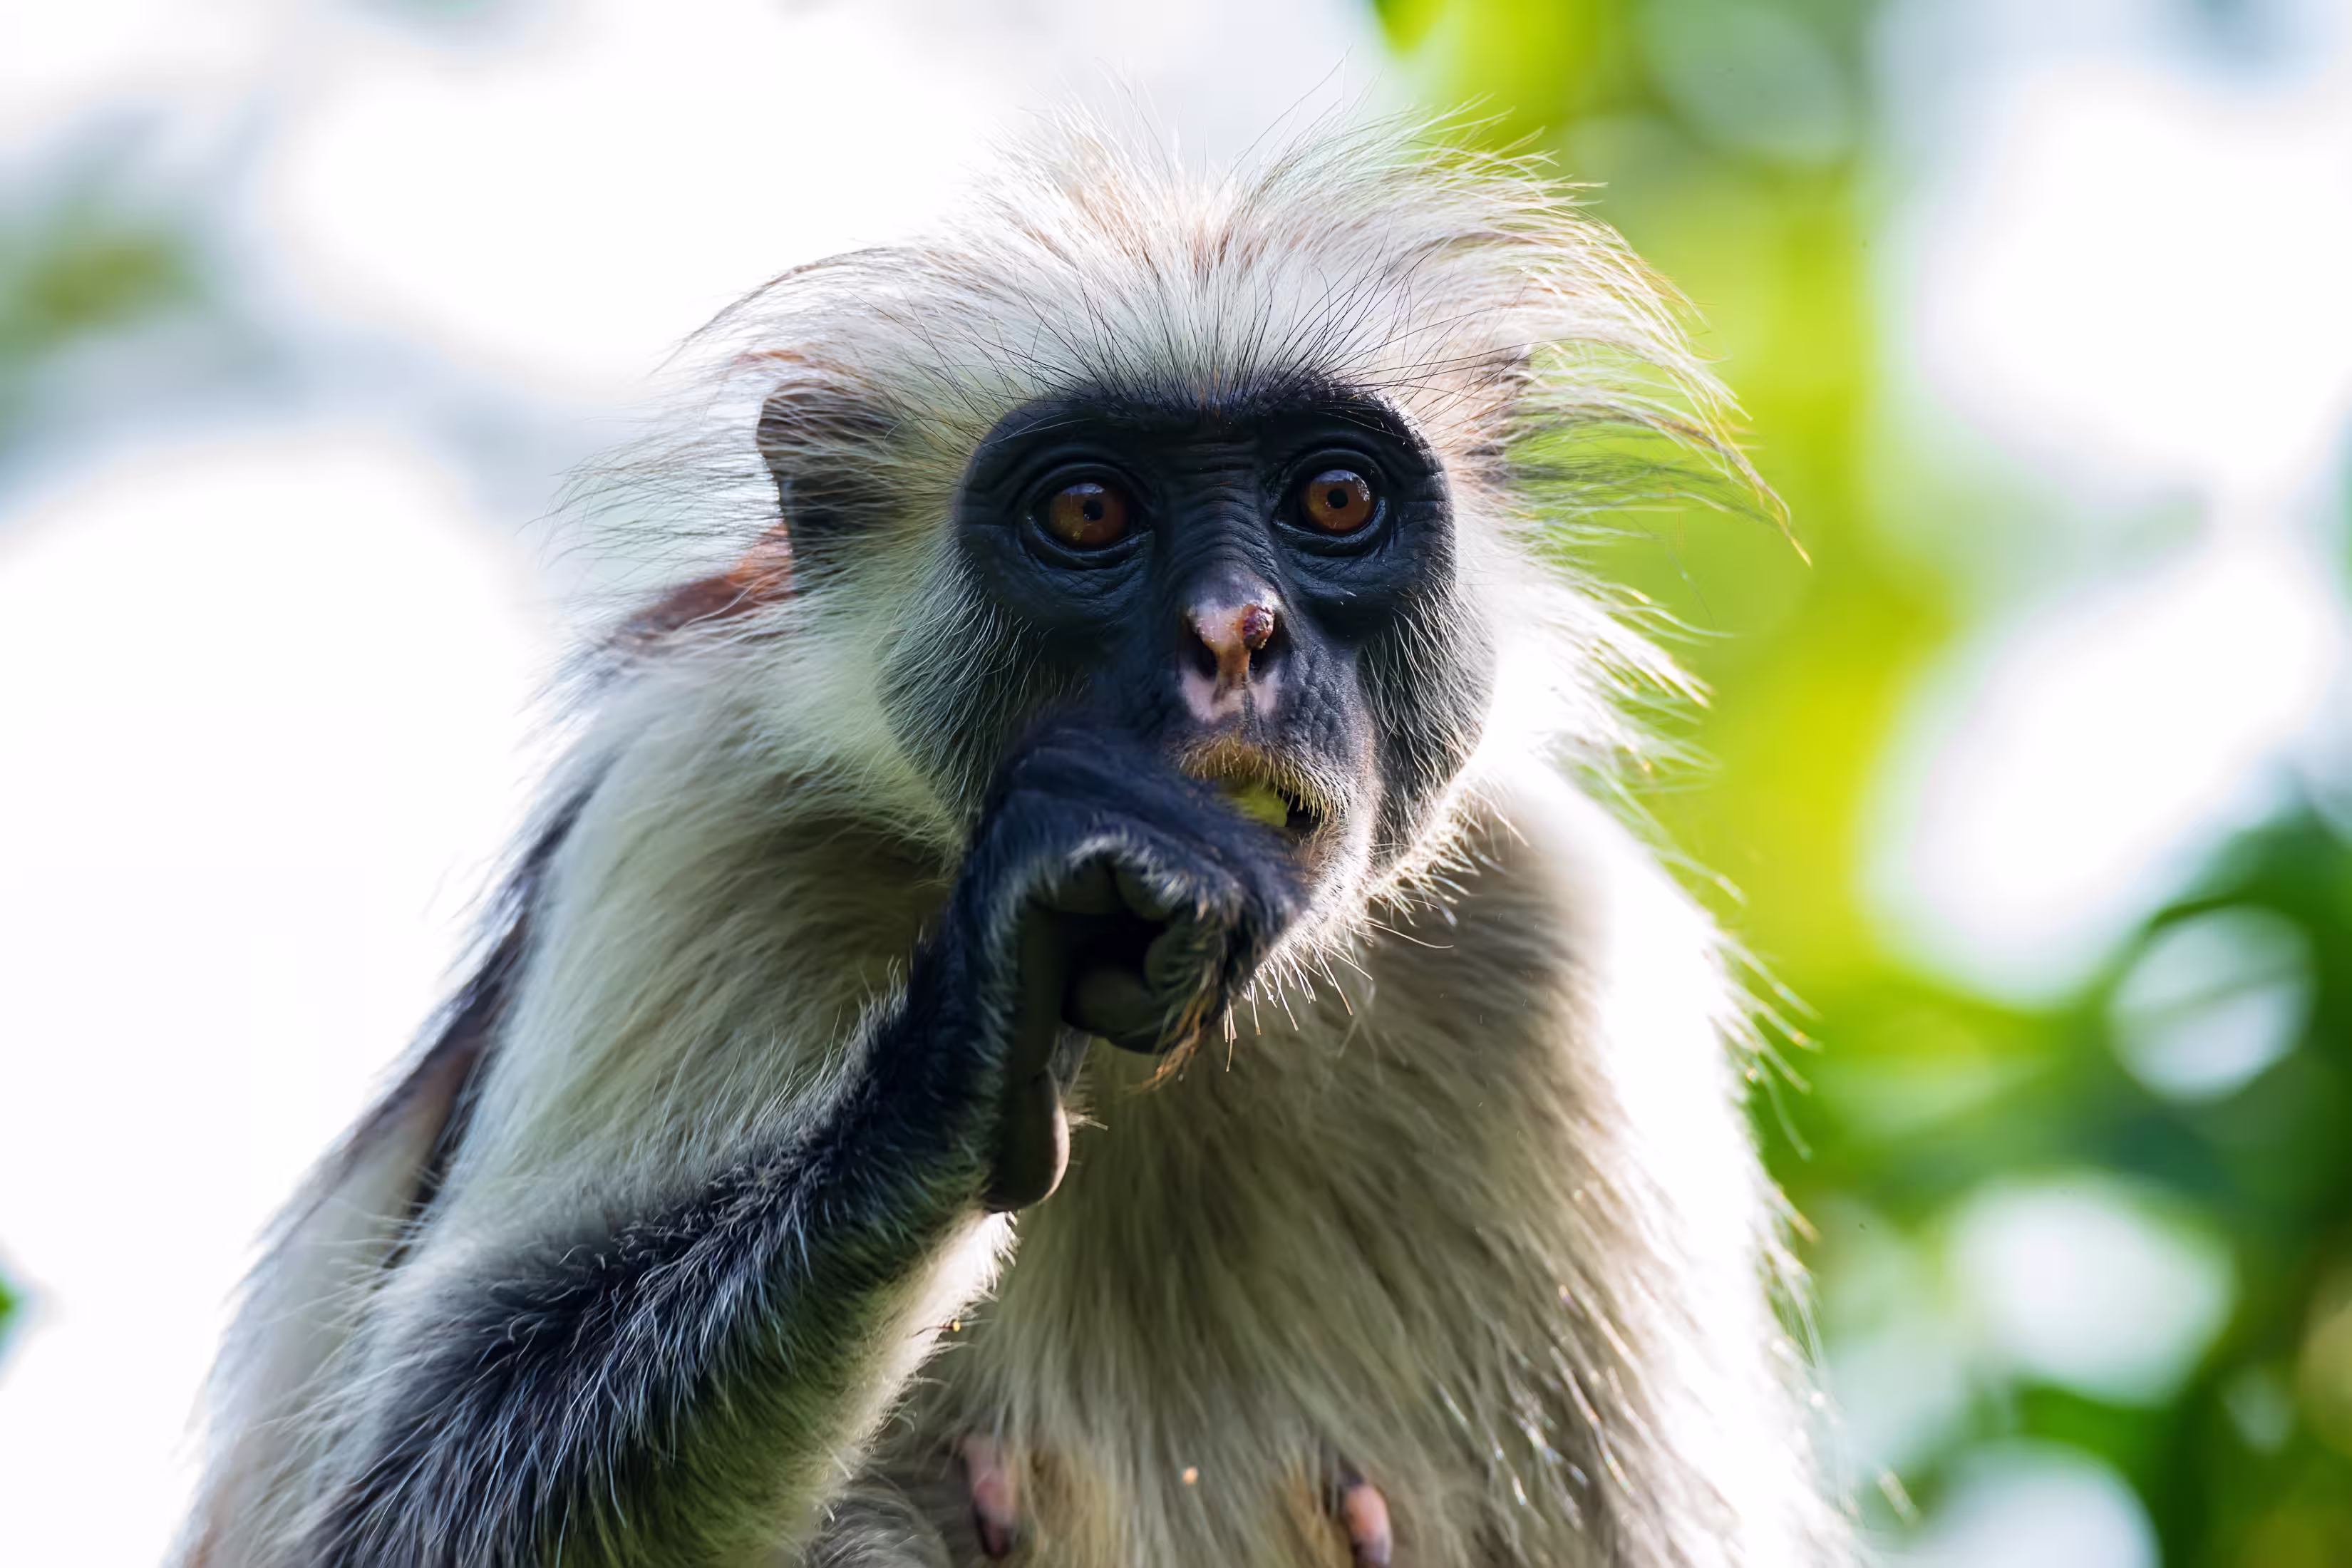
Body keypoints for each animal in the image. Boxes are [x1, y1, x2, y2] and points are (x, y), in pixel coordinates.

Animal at [174, 118, 1851, 1568]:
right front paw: (969, 1042)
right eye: (1092, 513)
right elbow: (409, 1514)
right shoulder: (700, 817)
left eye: (1332, 496)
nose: (1235, 633)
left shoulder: (1545, 937)